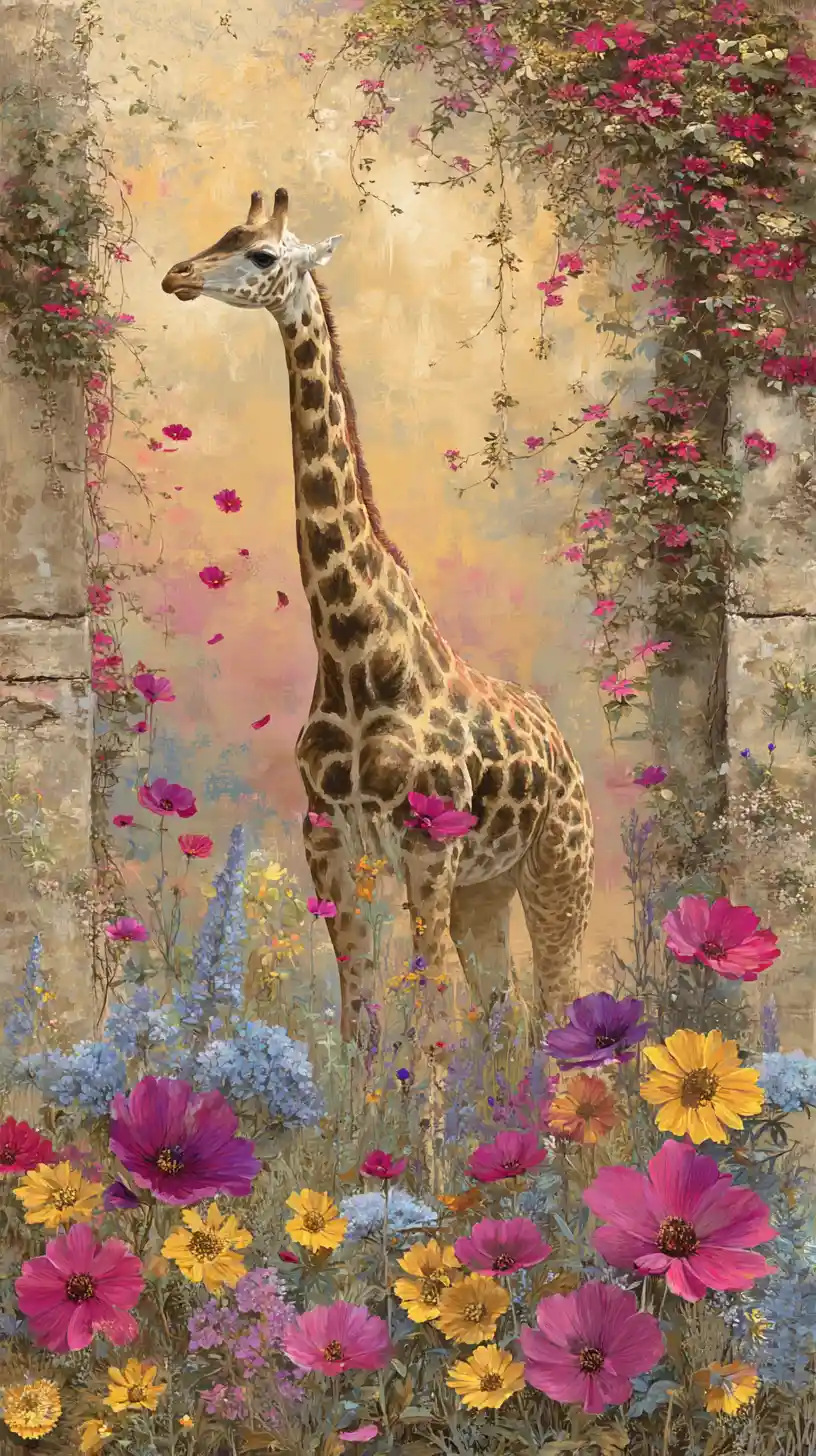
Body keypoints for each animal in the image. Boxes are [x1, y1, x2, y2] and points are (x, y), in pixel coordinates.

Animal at [161, 189, 594, 1041]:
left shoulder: (426, 846)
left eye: (263, 255)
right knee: (507, 1022)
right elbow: (361, 1020)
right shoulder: (331, 836)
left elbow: (426, 1020)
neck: (353, 647)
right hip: (486, 888)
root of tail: (565, 751)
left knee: (561, 1013)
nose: (177, 276)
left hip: (558, 869)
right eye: (222, 235)